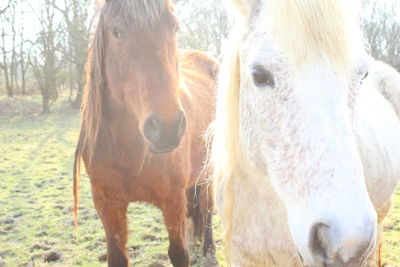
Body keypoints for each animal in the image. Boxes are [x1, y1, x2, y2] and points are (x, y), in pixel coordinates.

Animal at [72, 0, 216, 267]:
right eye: (116, 31)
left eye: (174, 27)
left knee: (208, 209)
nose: (167, 128)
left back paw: (209, 247)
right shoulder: (108, 204)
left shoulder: (172, 201)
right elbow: (117, 257)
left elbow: (179, 254)